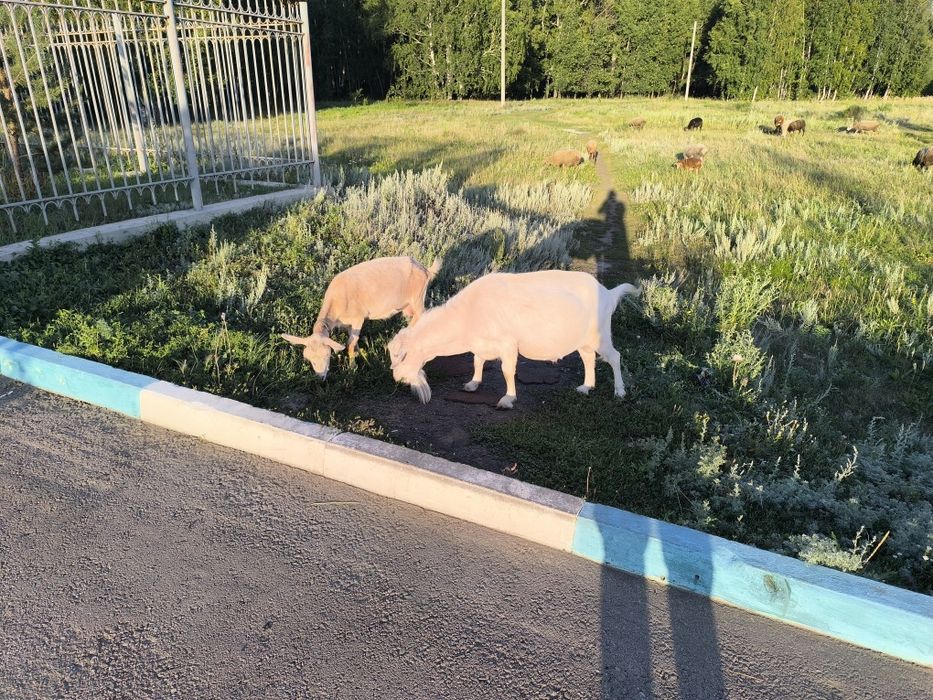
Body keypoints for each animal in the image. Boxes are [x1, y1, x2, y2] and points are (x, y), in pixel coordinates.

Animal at [282, 255, 440, 379]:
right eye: (308, 358)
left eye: (327, 355)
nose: (320, 378)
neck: (336, 301)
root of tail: (425, 269)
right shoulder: (347, 324)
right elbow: (353, 342)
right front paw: (360, 355)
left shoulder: (358, 319)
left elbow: (350, 344)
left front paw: (352, 368)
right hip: (407, 306)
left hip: (418, 298)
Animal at [387, 270, 640, 409]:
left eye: (402, 356)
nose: (398, 378)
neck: (467, 316)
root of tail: (608, 293)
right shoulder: (481, 343)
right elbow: (477, 361)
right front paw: (473, 383)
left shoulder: (507, 344)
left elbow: (507, 371)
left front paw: (508, 399)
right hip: (583, 340)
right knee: (588, 358)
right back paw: (586, 387)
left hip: (600, 335)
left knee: (614, 357)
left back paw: (619, 391)